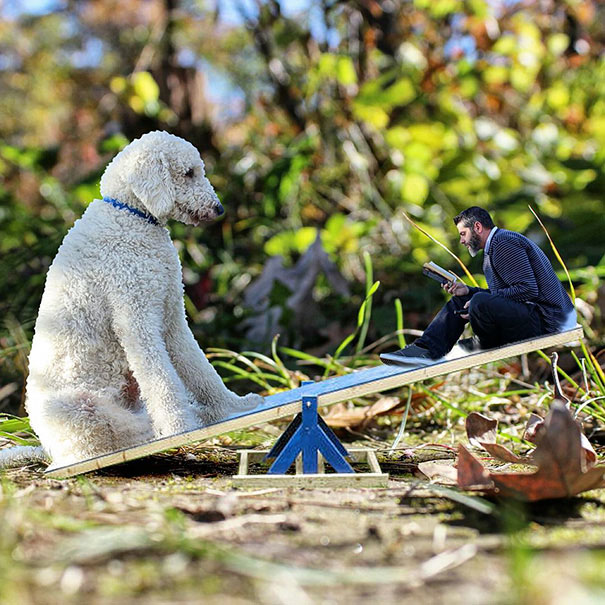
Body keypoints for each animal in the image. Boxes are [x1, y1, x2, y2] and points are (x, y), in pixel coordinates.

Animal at [3, 130, 262, 468]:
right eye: (188, 173)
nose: (218, 209)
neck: (131, 215)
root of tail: (52, 453)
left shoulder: (172, 317)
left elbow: (201, 370)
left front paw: (233, 406)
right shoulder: (136, 320)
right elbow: (164, 382)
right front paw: (181, 427)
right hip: (85, 408)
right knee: (120, 437)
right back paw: (170, 426)